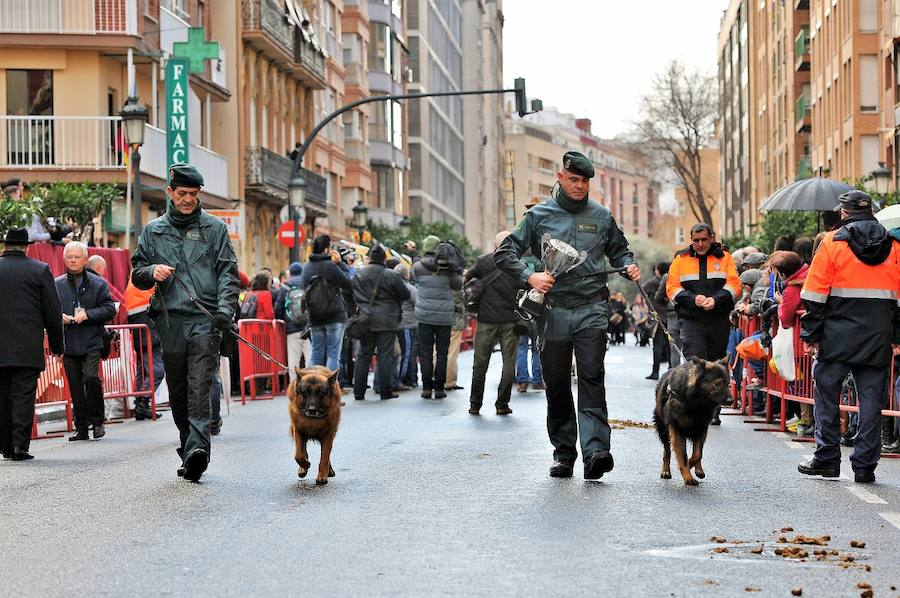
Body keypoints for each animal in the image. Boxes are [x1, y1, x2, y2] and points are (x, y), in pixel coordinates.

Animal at [652, 358, 732, 486]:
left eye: (728, 384)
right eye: (717, 384)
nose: (731, 401)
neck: (695, 403)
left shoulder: (701, 428)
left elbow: (698, 454)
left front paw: (691, 465)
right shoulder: (677, 429)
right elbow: (683, 456)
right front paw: (688, 477)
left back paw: (699, 470)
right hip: (663, 430)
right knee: (667, 452)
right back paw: (666, 471)